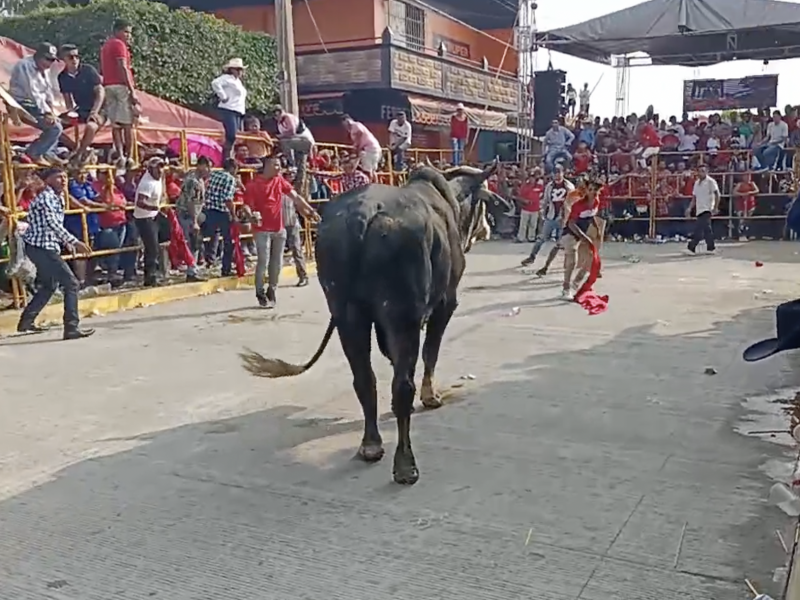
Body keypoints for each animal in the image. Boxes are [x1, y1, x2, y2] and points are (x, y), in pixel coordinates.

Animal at [239, 162, 512, 486]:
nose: (487, 229)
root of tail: (363, 214)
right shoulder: (445, 304)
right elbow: (430, 353)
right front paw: (430, 396)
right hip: (401, 314)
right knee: (401, 387)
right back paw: (405, 464)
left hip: (347, 315)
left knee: (364, 379)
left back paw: (371, 444)